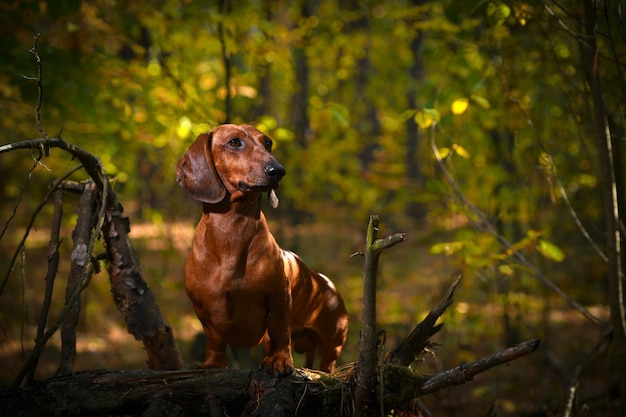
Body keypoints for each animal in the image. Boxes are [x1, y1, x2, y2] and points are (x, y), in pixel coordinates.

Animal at [177, 123, 346, 374]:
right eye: (234, 142)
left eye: (268, 144)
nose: (278, 171)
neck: (231, 232)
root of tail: (329, 284)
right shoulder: (201, 309)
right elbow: (215, 339)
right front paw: (213, 363)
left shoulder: (279, 298)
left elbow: (280, 332)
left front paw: (280, 360)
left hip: (331, 346)